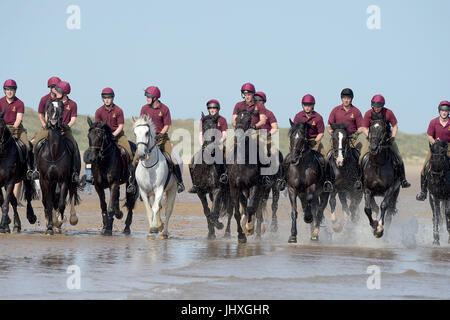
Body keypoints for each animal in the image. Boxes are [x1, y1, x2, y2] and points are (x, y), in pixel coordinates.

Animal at [35, 100, 81, 235]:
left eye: (61, 108)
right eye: (49, 107)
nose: (54, 121)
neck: (54, 153)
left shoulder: (63, 179)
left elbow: (61, 203)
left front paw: (59, 221)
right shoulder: (45, 180)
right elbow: (49, 203)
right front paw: (50, 227)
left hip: (71, 181)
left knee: (71, 197)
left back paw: (71, 218)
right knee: (50, 201)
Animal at [191, 112, 234, 240]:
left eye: (215, 128)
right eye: (204, 128)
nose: (210, 150)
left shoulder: (217, 190)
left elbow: (214, 211)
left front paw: (218, 225)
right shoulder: (200, 192)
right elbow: (207, 211)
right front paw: (211, 233)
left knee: (230, 211)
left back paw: (227, 233)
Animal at [229, 107, 268, 242]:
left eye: (249, 120)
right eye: (236, 119)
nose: (238, 136)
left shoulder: (255, 186)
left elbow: (252, 208)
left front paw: (249, 228)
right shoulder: (235, 188)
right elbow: (238, 212)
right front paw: (241, 236)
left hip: (262, 190)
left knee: (258, 210)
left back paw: (256, 233)